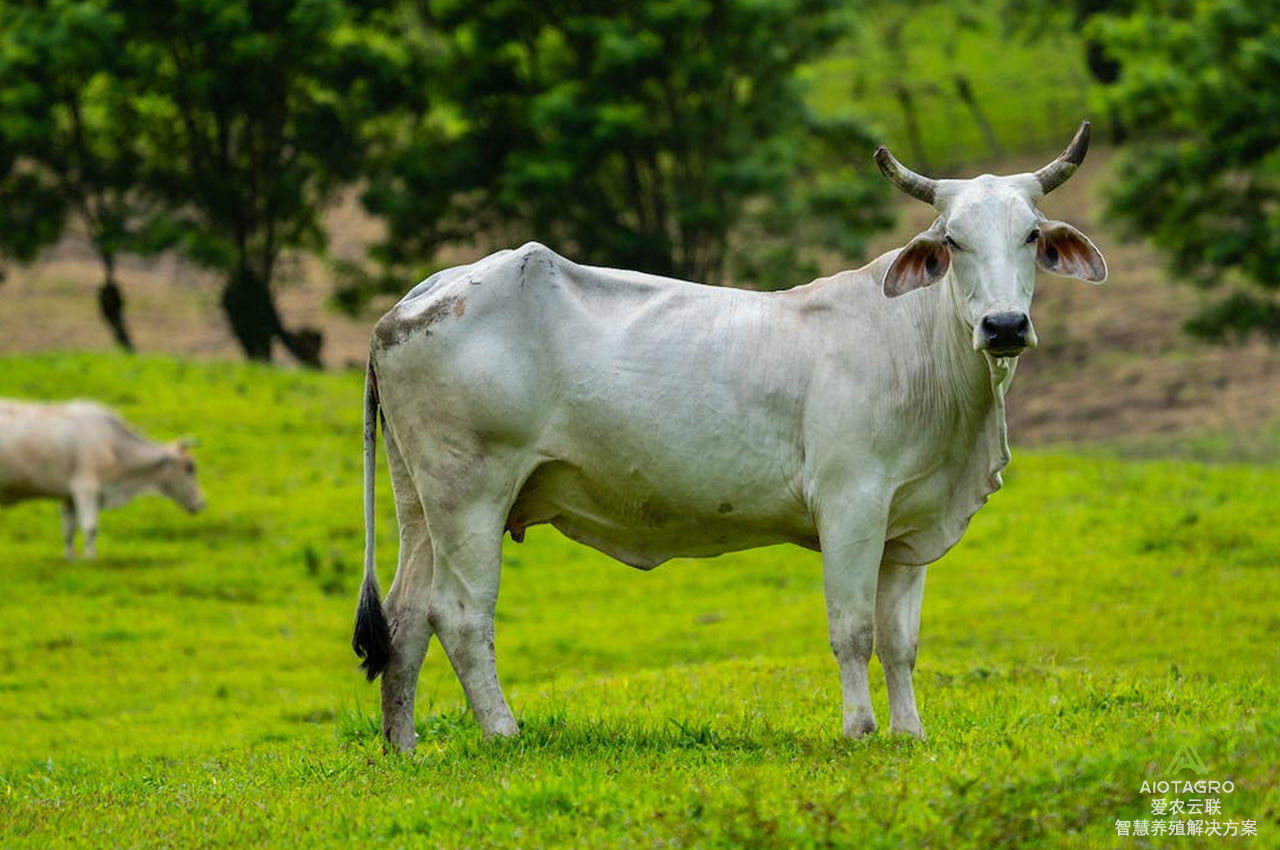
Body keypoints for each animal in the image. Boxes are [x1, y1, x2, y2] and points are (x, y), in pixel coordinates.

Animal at [0, 399, 203, 558]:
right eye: (190, 467)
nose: (202, 503)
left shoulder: (69, 495)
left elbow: (69, 529)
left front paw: (70, 558)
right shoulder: (86, 487)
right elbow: (90, 527)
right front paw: (90, 559)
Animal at [355, 120, 1105, 752]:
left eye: (1031, 235)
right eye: (952, 240)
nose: (1004, 326)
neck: (920, 349)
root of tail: (420, 295)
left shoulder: (909, 526)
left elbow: (901, 641)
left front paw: (909, 734)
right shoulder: (851, 505)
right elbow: (854, 629)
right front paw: (861, 731)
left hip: (421, 502)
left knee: (406, 616)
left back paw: (404, 746)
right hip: (472, 495)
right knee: (460, 615)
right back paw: (504, 732)